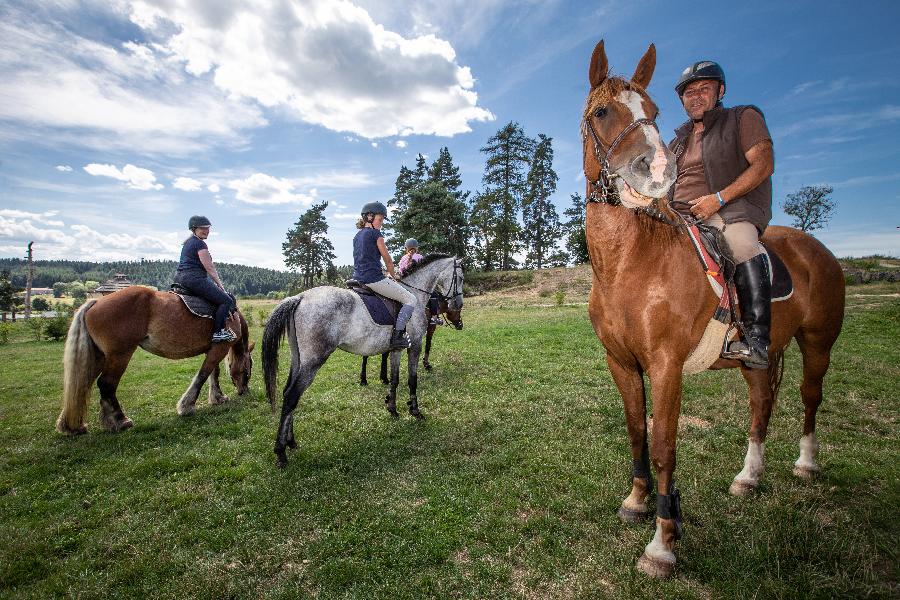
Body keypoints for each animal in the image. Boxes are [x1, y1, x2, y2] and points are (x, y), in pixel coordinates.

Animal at [55, 286, 253, 436]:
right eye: (248, 369)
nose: (244, 391)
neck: (231, 316)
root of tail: (96, 302)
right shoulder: (219, 348)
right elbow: (203, 374)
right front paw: (187, 406)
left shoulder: (213, 349)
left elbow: (213, 373)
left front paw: (217, 397)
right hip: (119, 355)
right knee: (106, 384)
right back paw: (119, 420)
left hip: (99, 357)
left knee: (82, 383)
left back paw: (71, 426)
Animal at [262, 255, 464, 466]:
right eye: (460, 278)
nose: (458, 304)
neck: (414, 294)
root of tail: (299, 298)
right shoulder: (415, 346)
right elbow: (412, 380)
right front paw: (415, 411)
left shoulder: (397, 349)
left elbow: (394, 379)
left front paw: (392, 409)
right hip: (313, 362)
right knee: (292, 396)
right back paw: (281, 452)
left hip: (298, 359)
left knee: (289, 393)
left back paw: (290, 442)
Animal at [580, 41, 848, 576]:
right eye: (602, 112)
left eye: (654, 112)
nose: (656, 172)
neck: (629, 262)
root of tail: (816, 248)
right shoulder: (621, 362)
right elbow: (636, 433)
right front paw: (637, 502)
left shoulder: (666, 366)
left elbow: (664, 446)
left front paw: (662, 542)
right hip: (757, 361)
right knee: (760, 406)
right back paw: (749, 476)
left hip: (817, 344)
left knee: (809, 398)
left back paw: (806, 464)